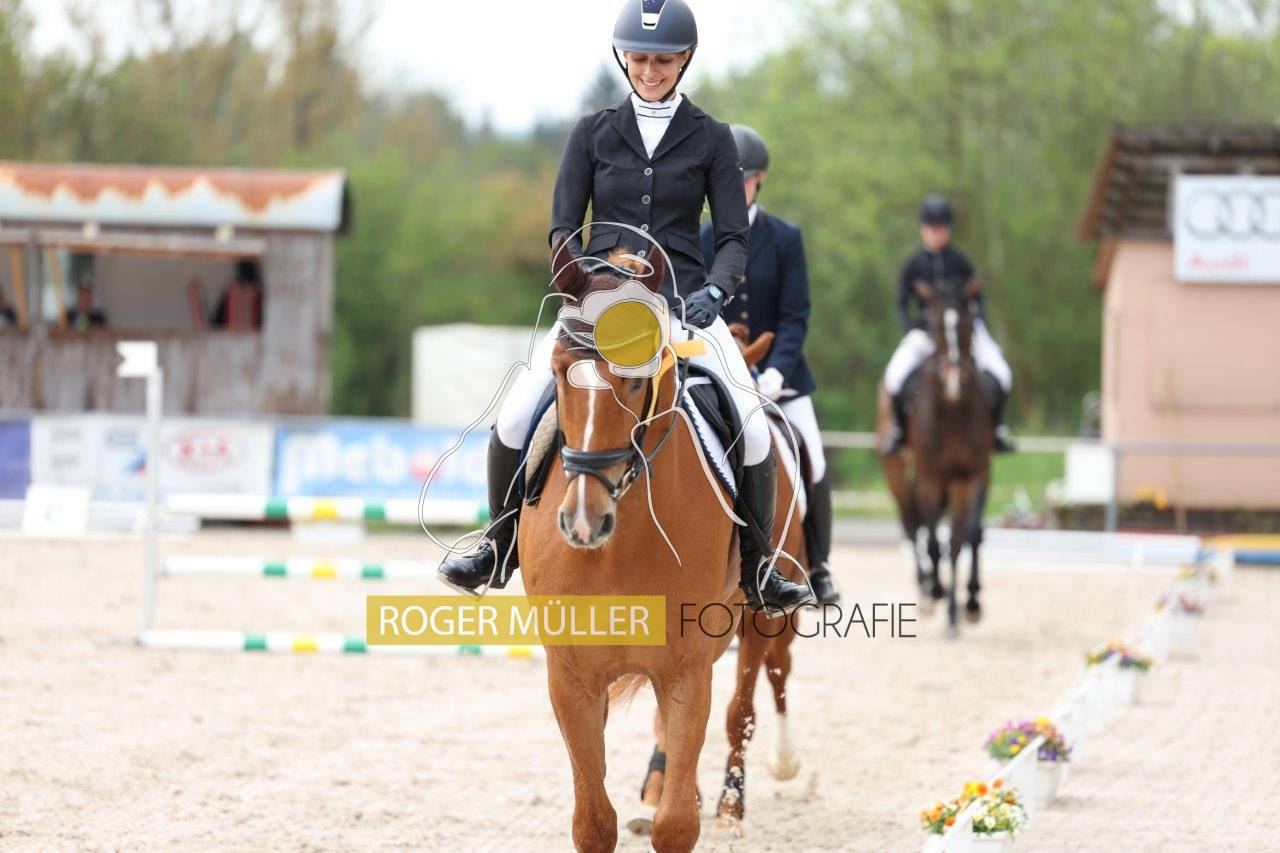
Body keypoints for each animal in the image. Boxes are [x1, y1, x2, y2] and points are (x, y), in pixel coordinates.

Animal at [518, 242, 745, 853]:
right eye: (559, 374)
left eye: (639, 383)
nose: (583, 520)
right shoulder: (570, 676)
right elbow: (593, 821)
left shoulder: (688, 669)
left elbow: (675, 825)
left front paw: (676, 803)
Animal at [628, 323, 808, 840]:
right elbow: (673, 715)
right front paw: (667, 792)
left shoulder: (756, 621)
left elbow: (738, 711)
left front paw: (730, 806)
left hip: (775, 619)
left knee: (778, 671)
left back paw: (782, 761)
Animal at [877, 278, 992, 639]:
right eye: (936, 328)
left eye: (968, 326)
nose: (955, 382)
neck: (952, 410)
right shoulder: (929, 478)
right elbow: (932, 542)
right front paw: (939, 592)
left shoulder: (969, 477)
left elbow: (962, 538)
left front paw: (963, 609)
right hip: (897, 473)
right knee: (911, 525)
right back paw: (928, 591)